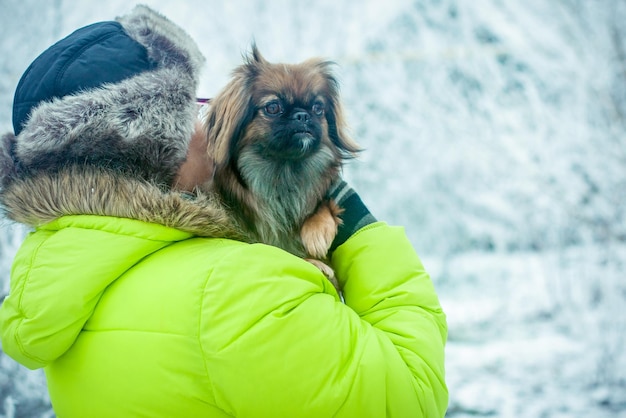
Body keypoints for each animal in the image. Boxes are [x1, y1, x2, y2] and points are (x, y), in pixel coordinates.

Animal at [205, 45, 358, 288]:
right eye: (273, 107)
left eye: (318, 108)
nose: (302, 115)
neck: (284, 170)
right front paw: (314, 261)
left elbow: (325, 205)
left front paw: (317, 233)